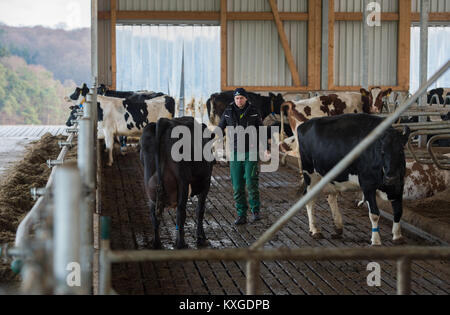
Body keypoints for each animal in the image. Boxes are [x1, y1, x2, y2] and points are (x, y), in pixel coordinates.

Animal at [142, 117, 215, 251]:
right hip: (182, 181)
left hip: (148, 180)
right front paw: (201, 238)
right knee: (181, 211)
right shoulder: (206, 181)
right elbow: (200, 210)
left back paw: (157, 243)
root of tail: (164, 121)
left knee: (153, 214)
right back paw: (181, 244)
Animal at [298, 113, 410, 247]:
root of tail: (303, 125)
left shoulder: (399, 185)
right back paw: (315, 230)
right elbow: (374, 214)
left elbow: (398, 211)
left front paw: (398, 236)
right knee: (309, 199)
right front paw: (376, 240)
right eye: (382, 152)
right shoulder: (368, 185)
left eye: (401, 151)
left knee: (331, 197)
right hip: (310, 174)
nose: (390, 177)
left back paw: (338, 227)